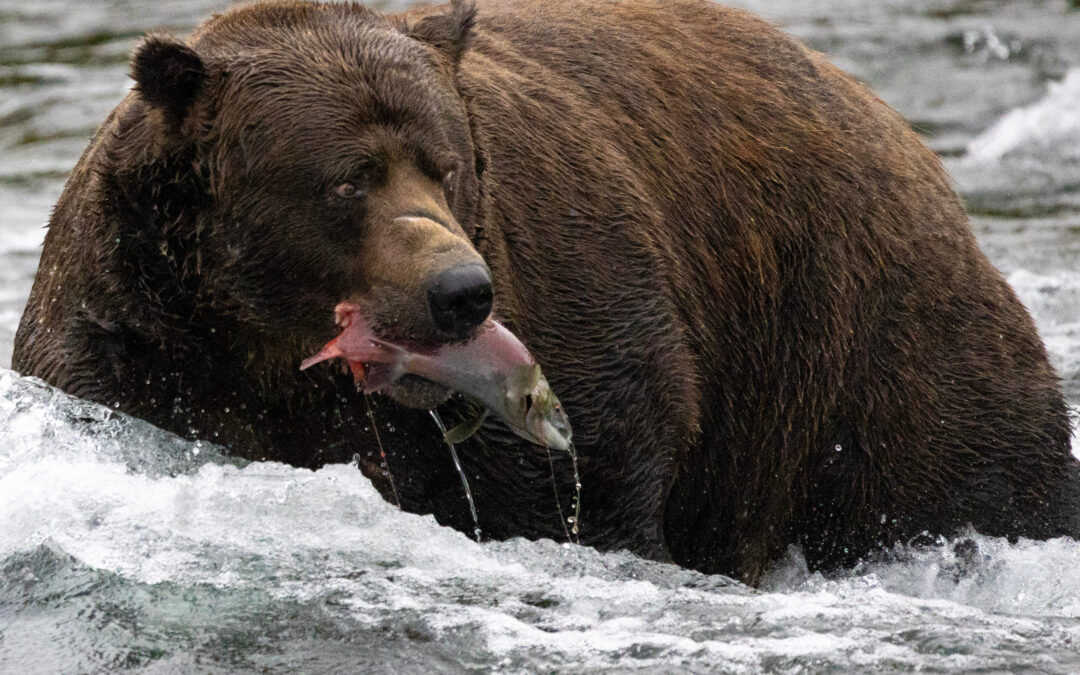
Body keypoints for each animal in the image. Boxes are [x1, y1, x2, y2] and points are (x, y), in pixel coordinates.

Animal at [12, 0, 1080, 585]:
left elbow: (595, 464)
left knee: (967, 471)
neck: (268, 352)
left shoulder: (572, 290)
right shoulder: (130, 350)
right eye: (348, 178)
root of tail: (903, 133)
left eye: (446, 162)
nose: (459, 291)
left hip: (859, 345)